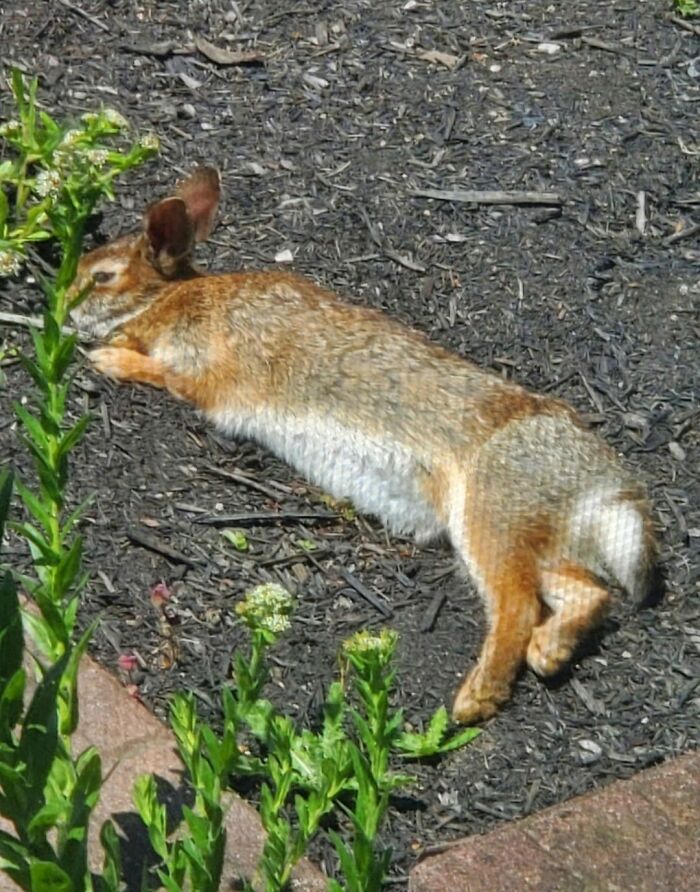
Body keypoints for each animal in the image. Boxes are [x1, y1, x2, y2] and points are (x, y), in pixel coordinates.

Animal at [70, 166, 657, 724]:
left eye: (102, 277)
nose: (65, 309)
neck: (170, 295)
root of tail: (602, 484)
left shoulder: (206, 373)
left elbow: (165, 374)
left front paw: (108, 357)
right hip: (535, 536)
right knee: (589, 591)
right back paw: (549, 654)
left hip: (491, 512)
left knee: (517, 606)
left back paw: (477, 698)